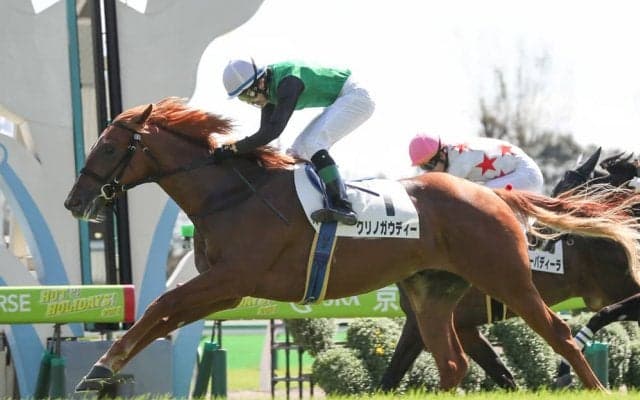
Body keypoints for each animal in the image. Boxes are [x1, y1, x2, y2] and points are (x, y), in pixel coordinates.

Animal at [380, 147, 640, 391]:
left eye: (569, 191)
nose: (541, 236)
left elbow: (391, 375)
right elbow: (502, 374)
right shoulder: (461, 325)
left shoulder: (420, 321)